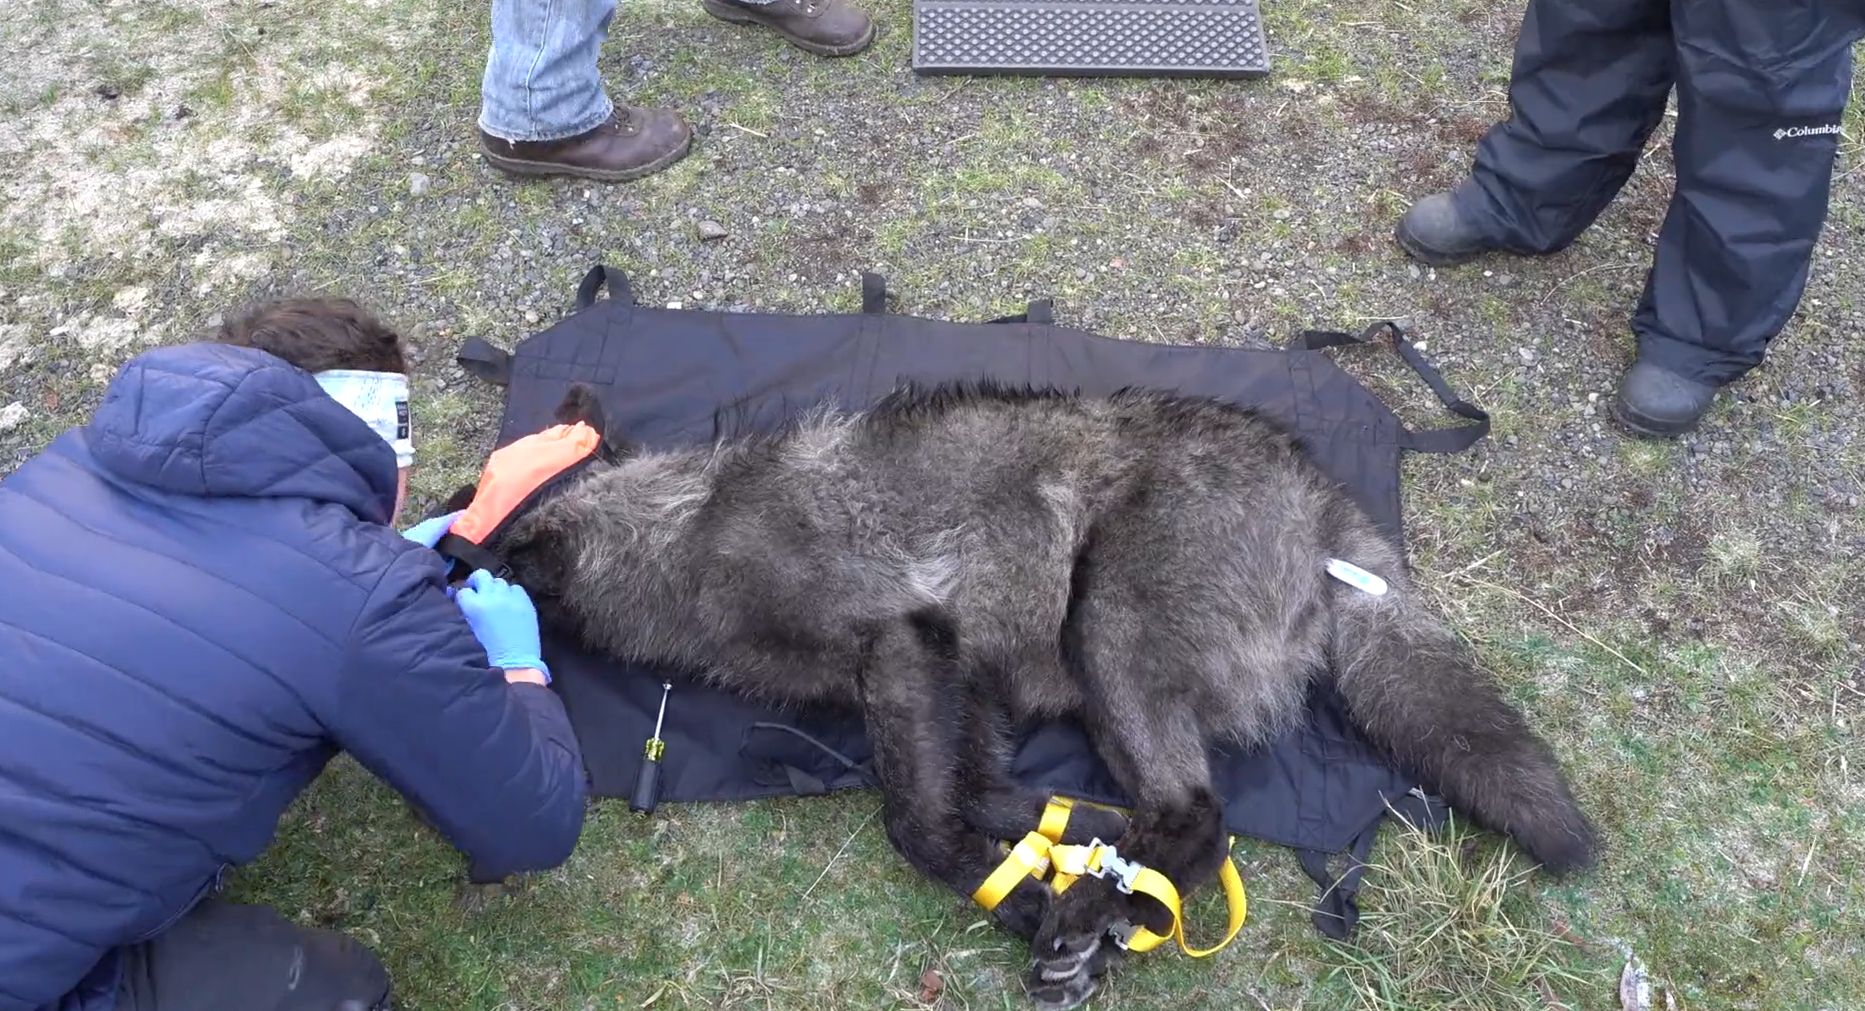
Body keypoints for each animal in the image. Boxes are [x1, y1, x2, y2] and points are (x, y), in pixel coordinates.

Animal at [448, 380, 1598, 1010]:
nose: (440, 553)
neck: (677, 528)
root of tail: (1323, 503)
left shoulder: (902, 644)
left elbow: (917, 821)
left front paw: (1034, 899)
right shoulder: (966, 679)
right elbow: (983, 796)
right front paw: (1049, 858)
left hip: (1106, 628)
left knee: (1200, 819)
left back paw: (1099, 902)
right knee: (1153, 814)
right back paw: (1099, 869)